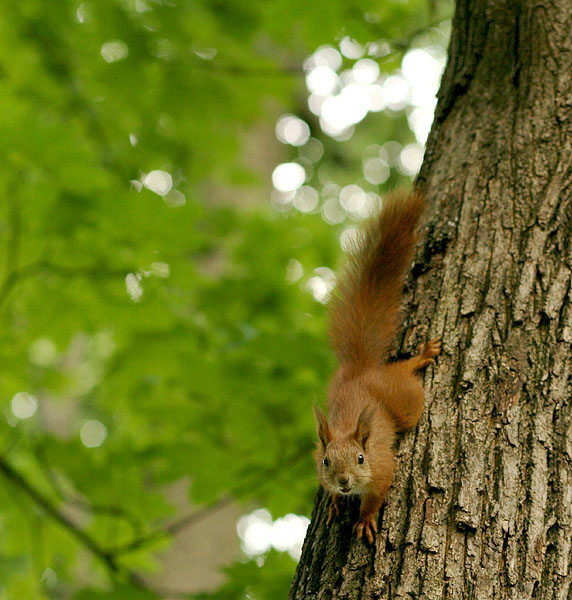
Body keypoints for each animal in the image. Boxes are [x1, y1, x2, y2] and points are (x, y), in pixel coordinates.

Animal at [316, 191, 440, 544]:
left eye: (361, 458)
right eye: (326, 461)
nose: (344, 482)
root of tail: (362, 371)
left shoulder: (383, 467)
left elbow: (376, 495)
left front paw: (365, 519)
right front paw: (335, 503)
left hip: (404, 398)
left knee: (405, 379)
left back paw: (419, 358)